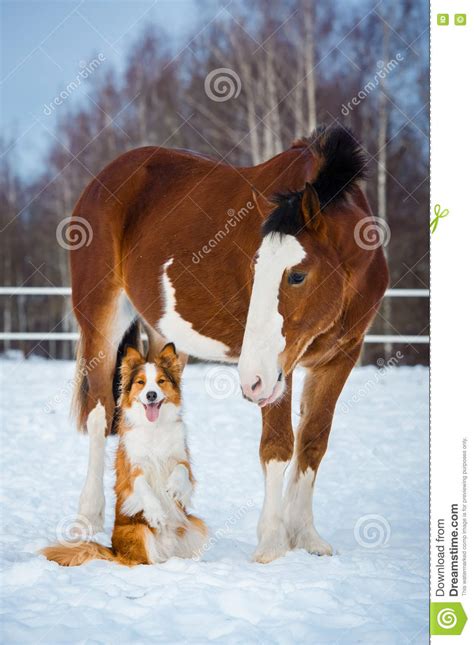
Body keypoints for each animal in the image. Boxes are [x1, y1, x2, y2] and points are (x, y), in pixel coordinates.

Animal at [40, 344, 206, 568]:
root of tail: (115, 550)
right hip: (139, 532)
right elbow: (143, 488)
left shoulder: (182, 458)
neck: (154, 428)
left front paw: (174, 488)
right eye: (141, 382)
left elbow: (181, 471)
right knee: (141, 560)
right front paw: (156, 514)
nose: (151, 395)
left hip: (196, 525)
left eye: (161, 381)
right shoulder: (132, 468)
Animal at [70, 126, 388, 564]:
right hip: (101, 322)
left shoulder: (339, 357)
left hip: (166, 340)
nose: (250, 381)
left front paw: (306, 537)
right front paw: (272, 543)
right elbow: (278, 446)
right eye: (255, 267)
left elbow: (312, 443)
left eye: (297, 275)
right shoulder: (278, 371)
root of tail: (106, 177)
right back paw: (88, 519)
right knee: (101, 413)